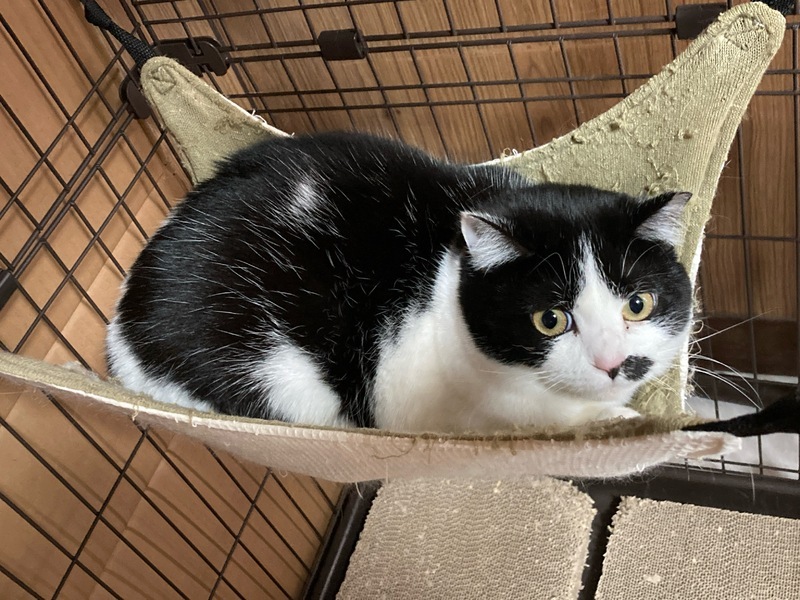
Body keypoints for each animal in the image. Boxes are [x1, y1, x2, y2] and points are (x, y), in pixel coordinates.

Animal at [106, 131, 693, 434]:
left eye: (638, 305)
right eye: (550, 320)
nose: (614, 363)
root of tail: (119, 338)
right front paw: (618, 418)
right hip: (283, 381)